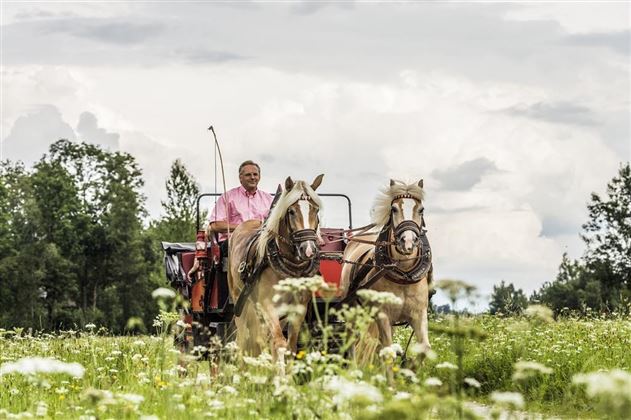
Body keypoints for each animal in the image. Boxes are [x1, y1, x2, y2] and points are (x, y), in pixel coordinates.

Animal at [228, 174, 326, 358]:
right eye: (291, 211)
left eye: (315, 210)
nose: (308, 250)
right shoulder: (268, 306)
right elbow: (279, 343)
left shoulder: (298, 309)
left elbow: (291, 346)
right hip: (239, 301)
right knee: (243, 339)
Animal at [340, 180, 434, 364]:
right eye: (394, 209)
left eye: (421, 209)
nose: (408, 242)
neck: (403, 274)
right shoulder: (382, 315)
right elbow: (388, 352)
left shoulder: (418, 314)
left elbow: (424, 349)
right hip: (352, 310)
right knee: (351, 338)